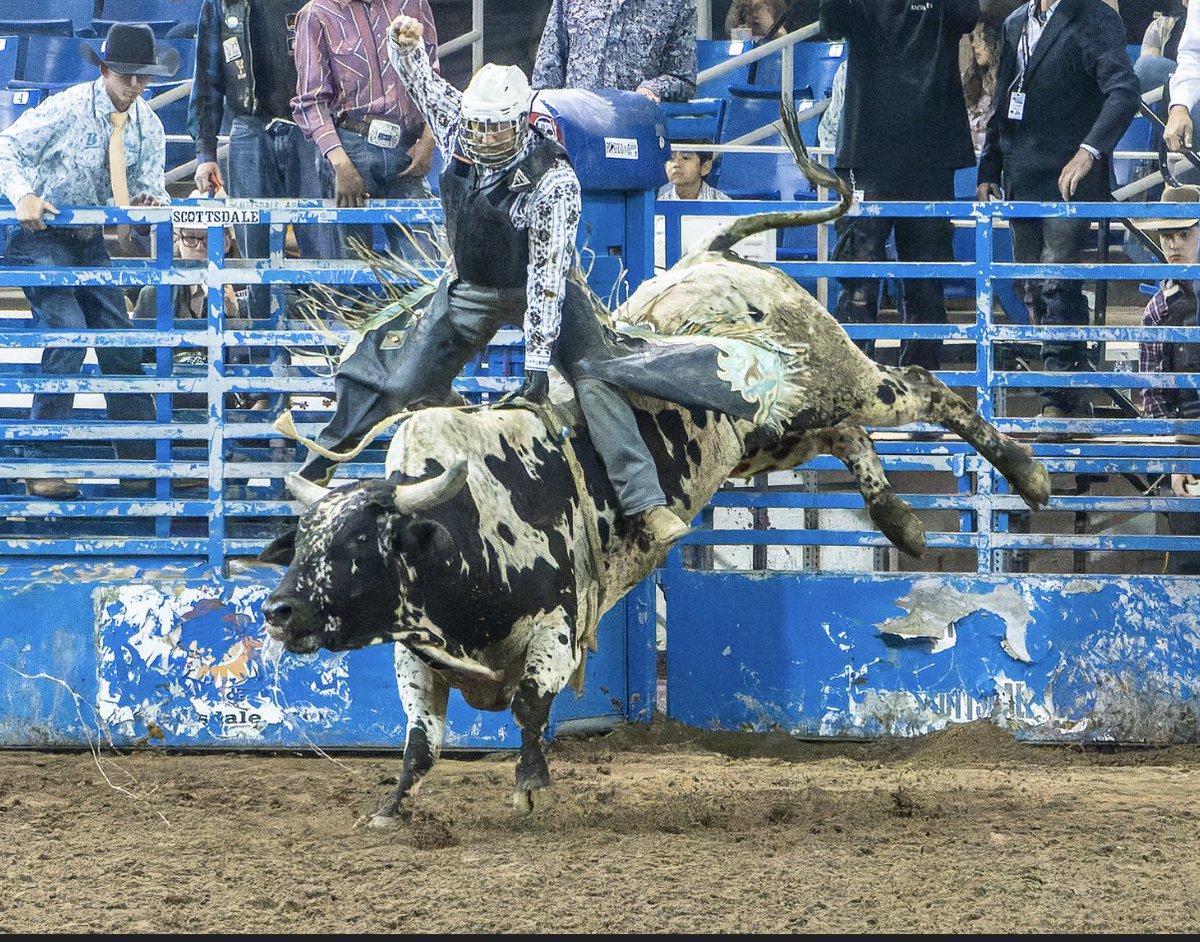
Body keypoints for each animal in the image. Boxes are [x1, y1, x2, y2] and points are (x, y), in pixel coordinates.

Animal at [258, 105, 1046, 825]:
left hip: (833, 377)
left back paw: (1025, 473)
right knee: (850, 437)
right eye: (301, 545)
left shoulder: (556, 627)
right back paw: (901, 521)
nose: (279, 611)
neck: (462, 524)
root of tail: (716, 257)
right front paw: (392, 810)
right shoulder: (415, 658)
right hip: (774, 432)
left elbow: (530, 706)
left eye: (359, 544)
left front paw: (531, 786)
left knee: (920, 385)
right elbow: (421, 742)